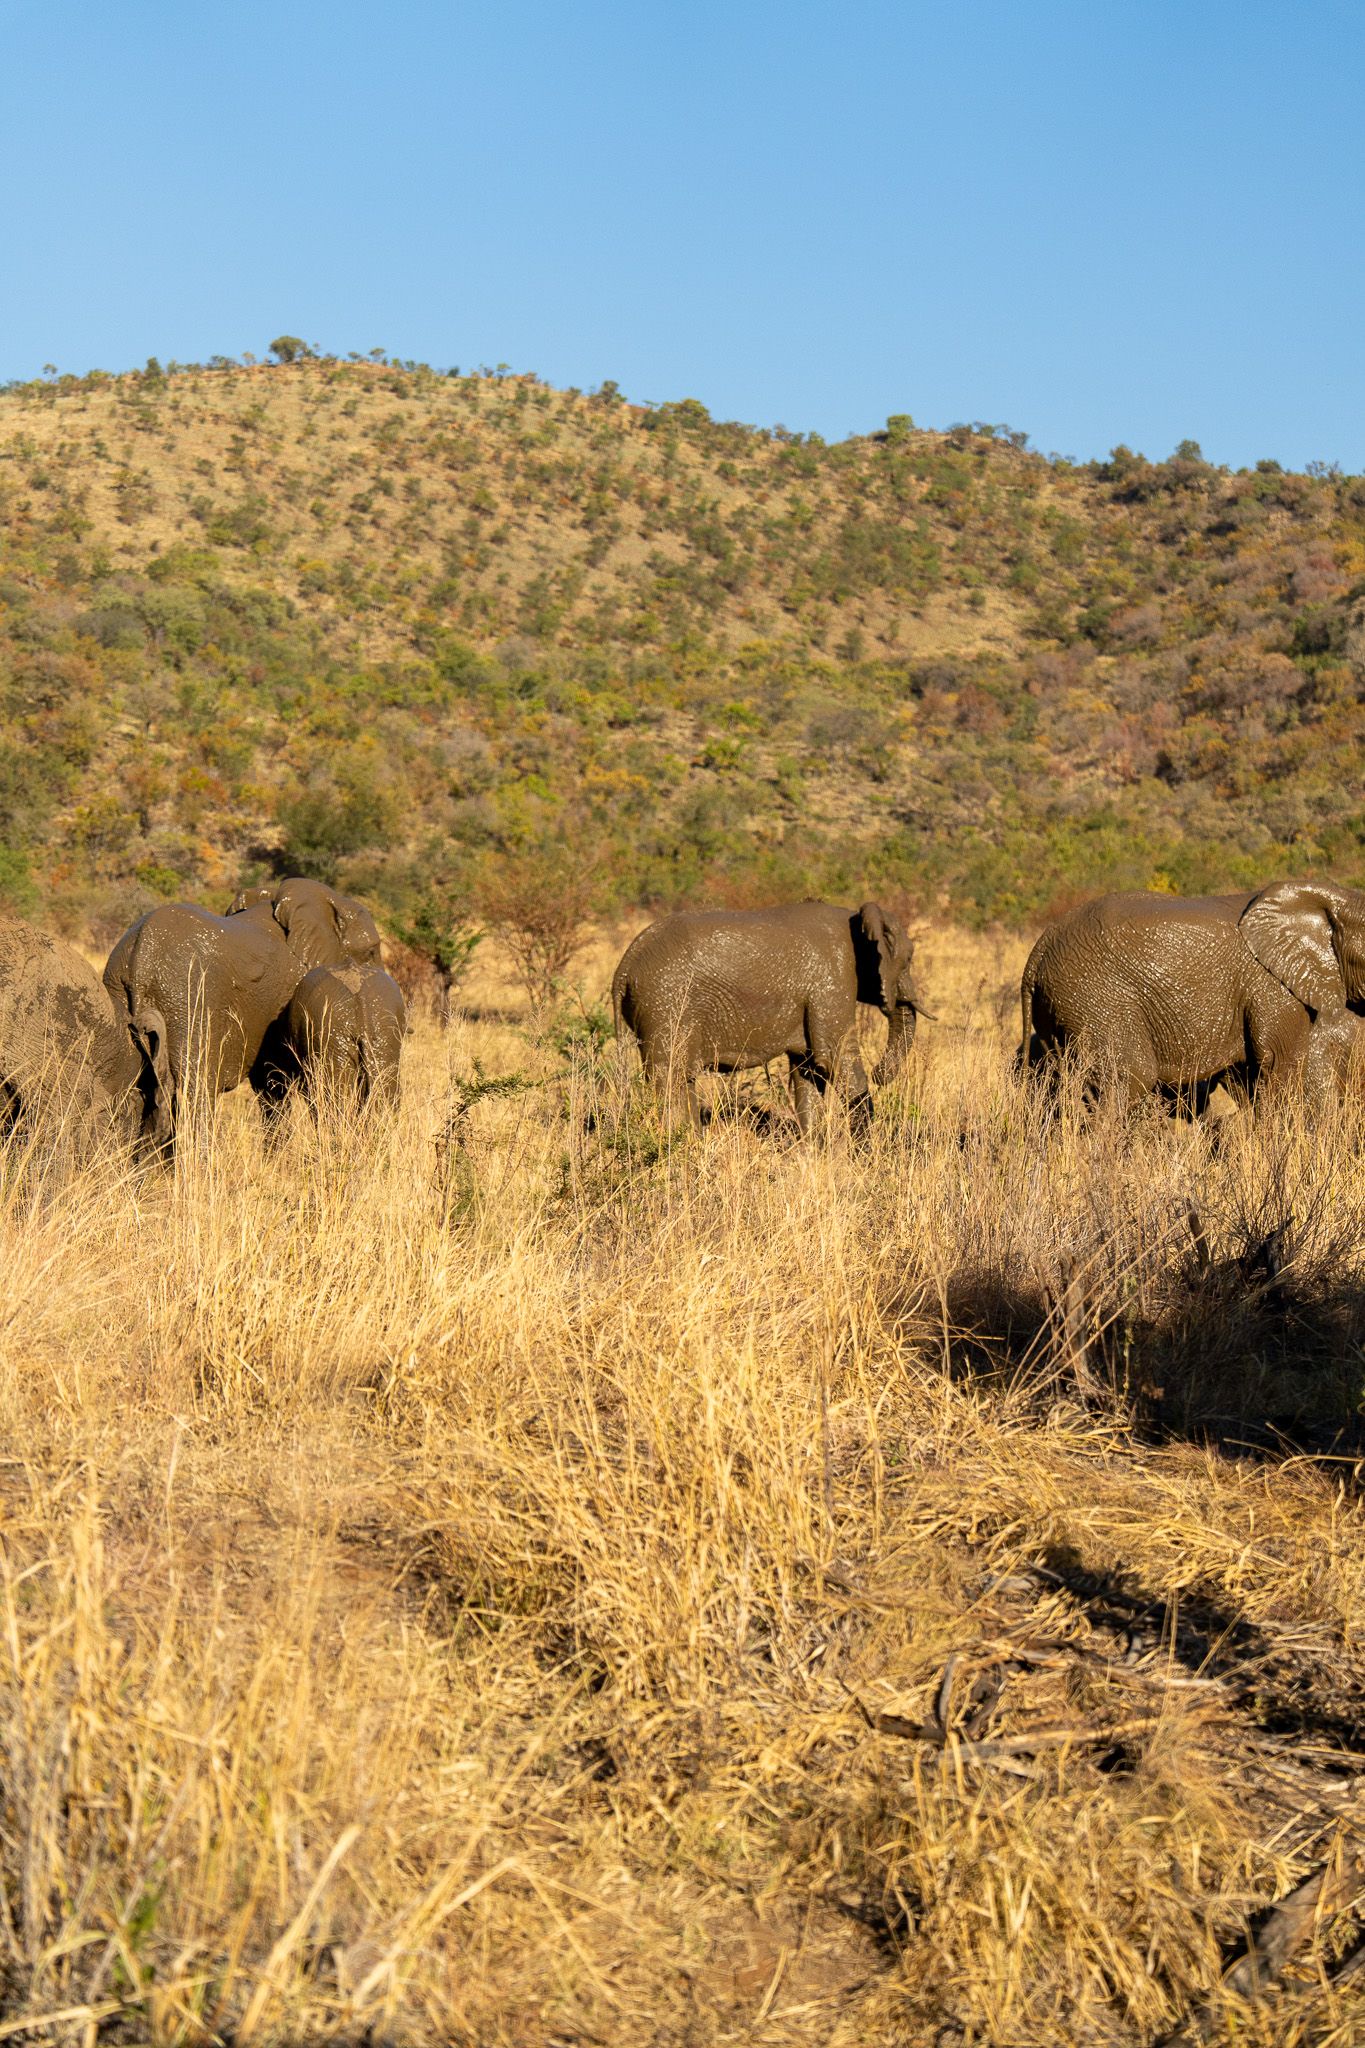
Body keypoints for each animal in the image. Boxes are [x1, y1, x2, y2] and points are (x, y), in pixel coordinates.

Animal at [611, 900, 928, 1131]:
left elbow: (809, 1069)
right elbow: (835, 1059)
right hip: (666, 1003)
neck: (855, 917)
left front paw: (814, 1151)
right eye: (909, 958)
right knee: (671, 1079)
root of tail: (624, 966)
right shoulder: (831, 982)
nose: (879, 1073)